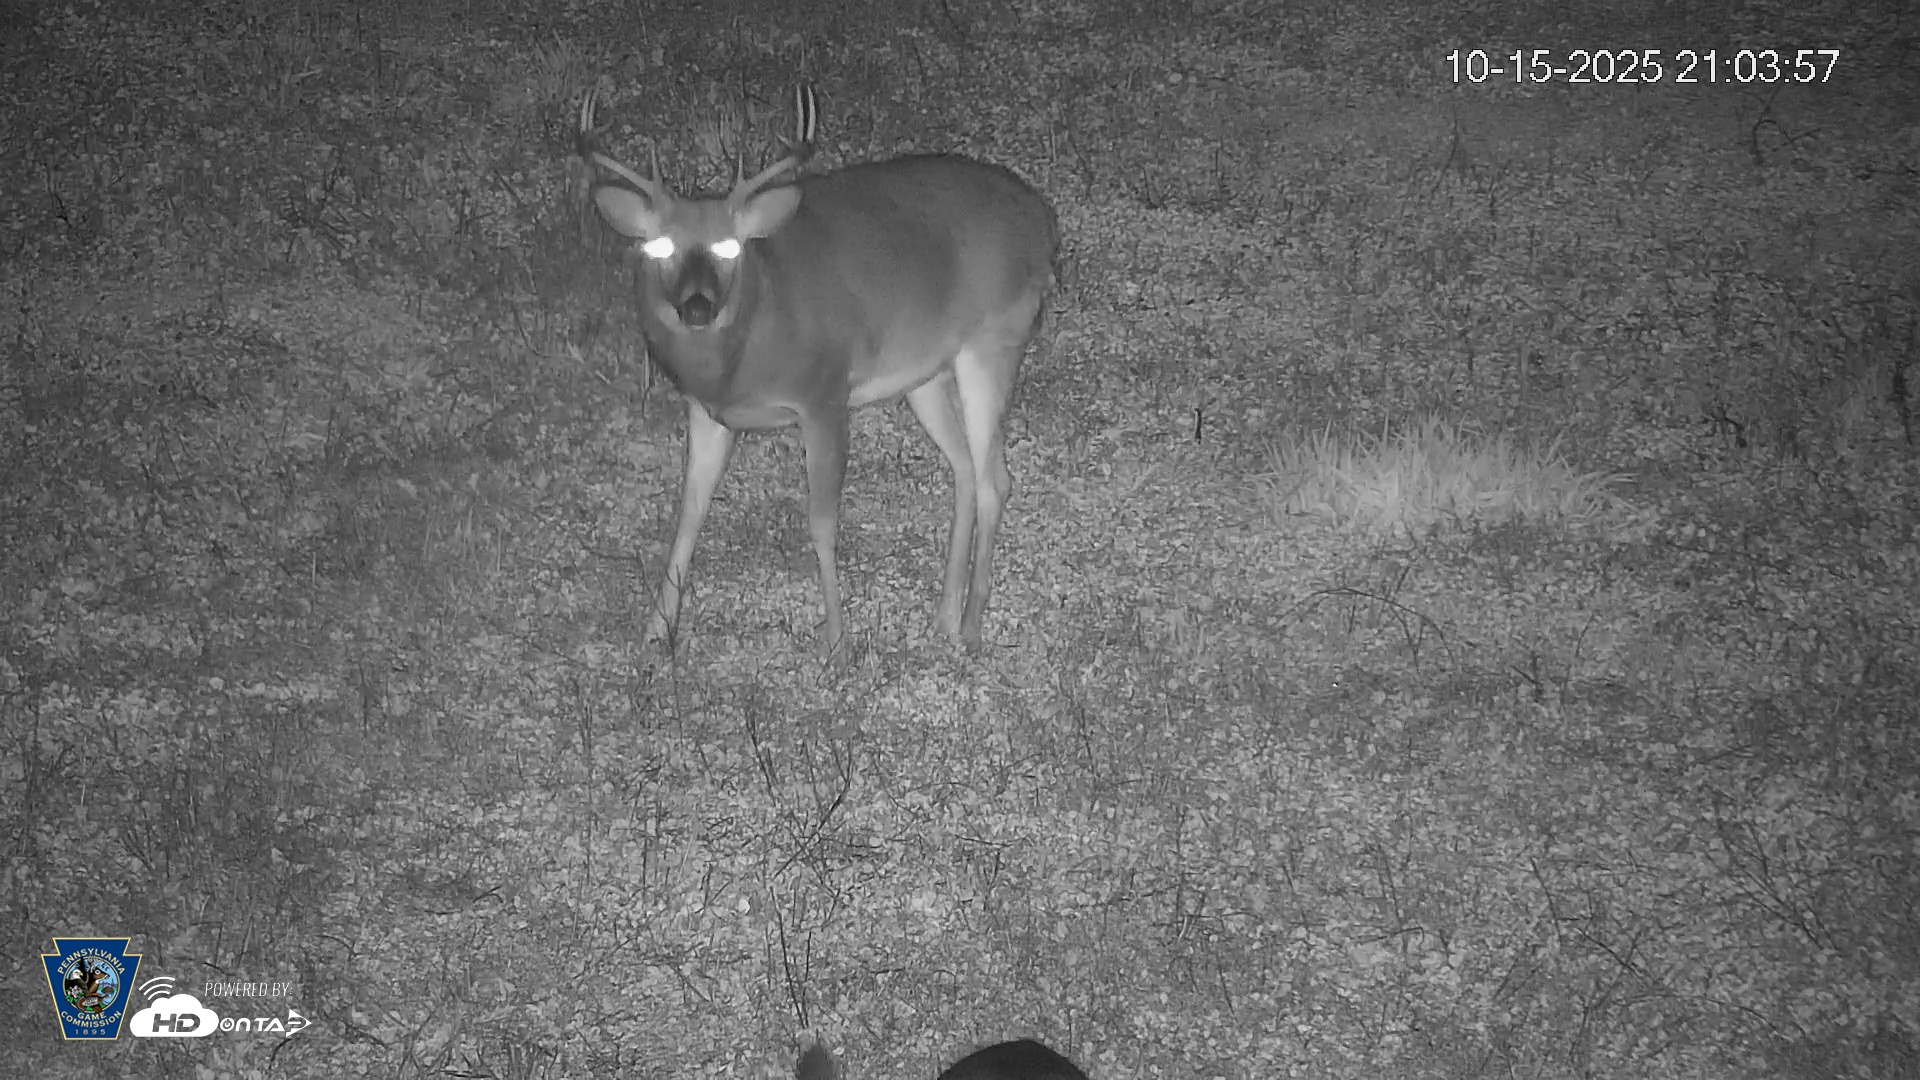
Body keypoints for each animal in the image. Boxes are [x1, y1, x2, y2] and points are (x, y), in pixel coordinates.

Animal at [577, 86, 1056, 655]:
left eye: (729, 246)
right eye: (660, 246)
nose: (697, 307)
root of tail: (1042, 217)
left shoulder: (824, 393)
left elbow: (822, 521)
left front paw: (836, 640)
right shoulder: (708, 411)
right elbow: (689, 512)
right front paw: (655, 628)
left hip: (993, 340)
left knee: (994, 479)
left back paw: (973, 626)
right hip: (925, 374)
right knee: (964, 466)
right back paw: (943, 618)